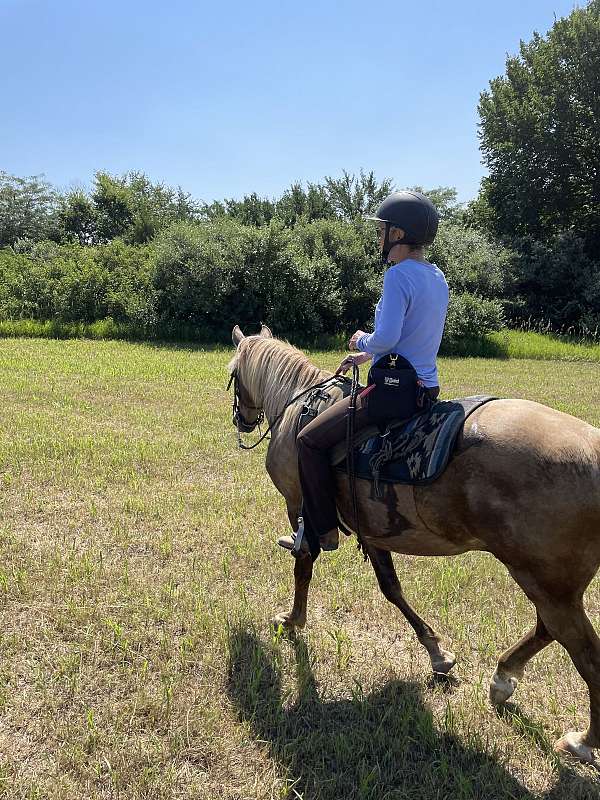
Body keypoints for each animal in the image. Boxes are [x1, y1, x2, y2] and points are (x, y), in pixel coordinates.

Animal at [227, 326, 600, 768]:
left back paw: (583, 741)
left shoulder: (299, 506)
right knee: (548, 629)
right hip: (552, 584)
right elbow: (391, 588)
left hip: (548, 584)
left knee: (585, 655)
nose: (242, 419)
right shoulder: (373, 529)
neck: (297, 407)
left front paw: (291, 620)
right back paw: (502, 679)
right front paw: (438, 654)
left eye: (233, 373)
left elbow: (304, 564)